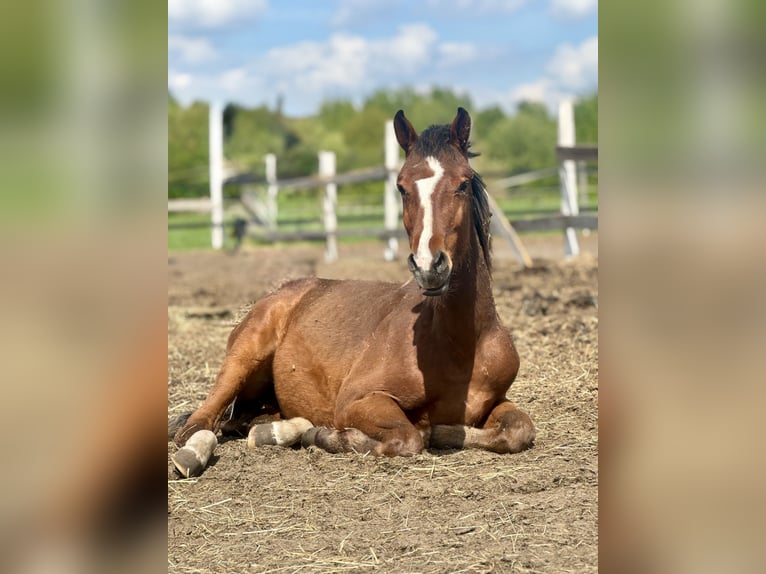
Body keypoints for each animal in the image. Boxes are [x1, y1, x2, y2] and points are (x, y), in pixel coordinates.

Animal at [169, 107, 536, 477]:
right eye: (401, 187)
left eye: (462, 183)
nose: (430, 267)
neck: (460, 346)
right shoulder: (357, 399)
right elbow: (408, 437)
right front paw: (327, 436)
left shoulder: (496, 400)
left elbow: (519, 429)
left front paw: (442, 431)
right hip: (244, 356)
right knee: (200, 423)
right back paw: (194, 453)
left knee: (244, 422)